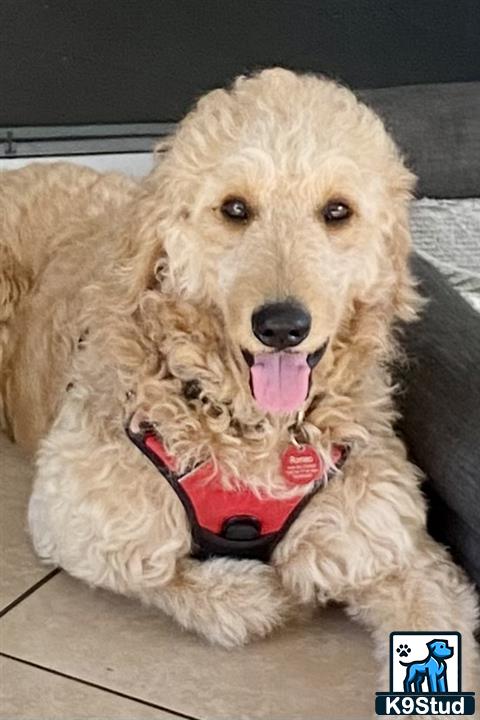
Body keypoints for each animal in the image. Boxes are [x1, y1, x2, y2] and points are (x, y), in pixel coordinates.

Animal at [0, 67, 478, 692]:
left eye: (337, 211)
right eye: (234, 208)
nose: (282, 326)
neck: (254, 429)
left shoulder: (390, 541)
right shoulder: (79, 512)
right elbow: (169, 574)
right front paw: (266, 594)